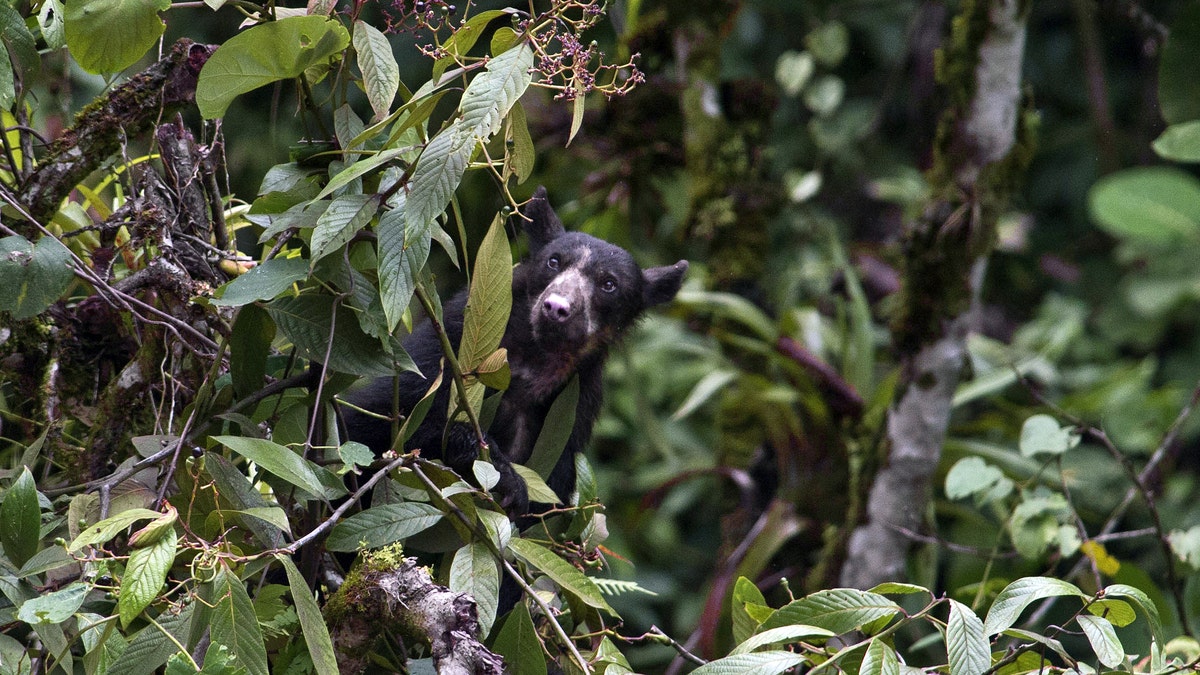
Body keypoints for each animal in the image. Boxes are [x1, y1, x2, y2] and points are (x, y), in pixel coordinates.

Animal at [343, 184, 691, 509]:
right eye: (554, 262)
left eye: (609, 284)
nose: (556, 307)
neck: (530, 361)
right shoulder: (444, 350)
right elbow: (380, 429)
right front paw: (501, 473)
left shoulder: (574, 408)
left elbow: (551, 493)